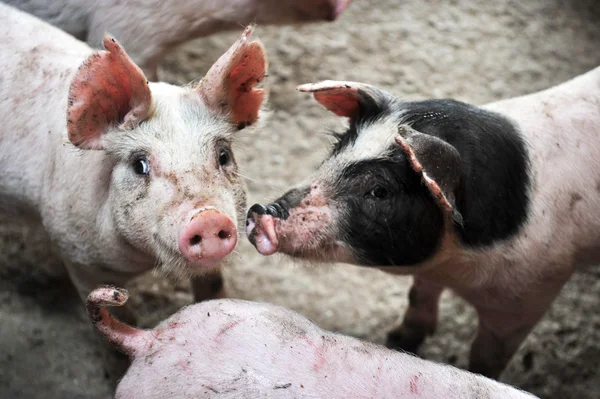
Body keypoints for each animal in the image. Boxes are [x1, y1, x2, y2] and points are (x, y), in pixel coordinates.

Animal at [0, 3, 268, 320]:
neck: (147, 262)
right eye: (140, 165)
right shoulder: (75, 251)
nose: (208, 217)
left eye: (223, 155)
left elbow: (213, 287)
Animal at [245, 69, 600, 382]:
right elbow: (418, 296)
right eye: (335, 150)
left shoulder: (530, 294)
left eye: (379, 190)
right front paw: (397, 340)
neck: (455, 266)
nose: (260, 210)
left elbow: (487, 356)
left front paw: (477, 375)